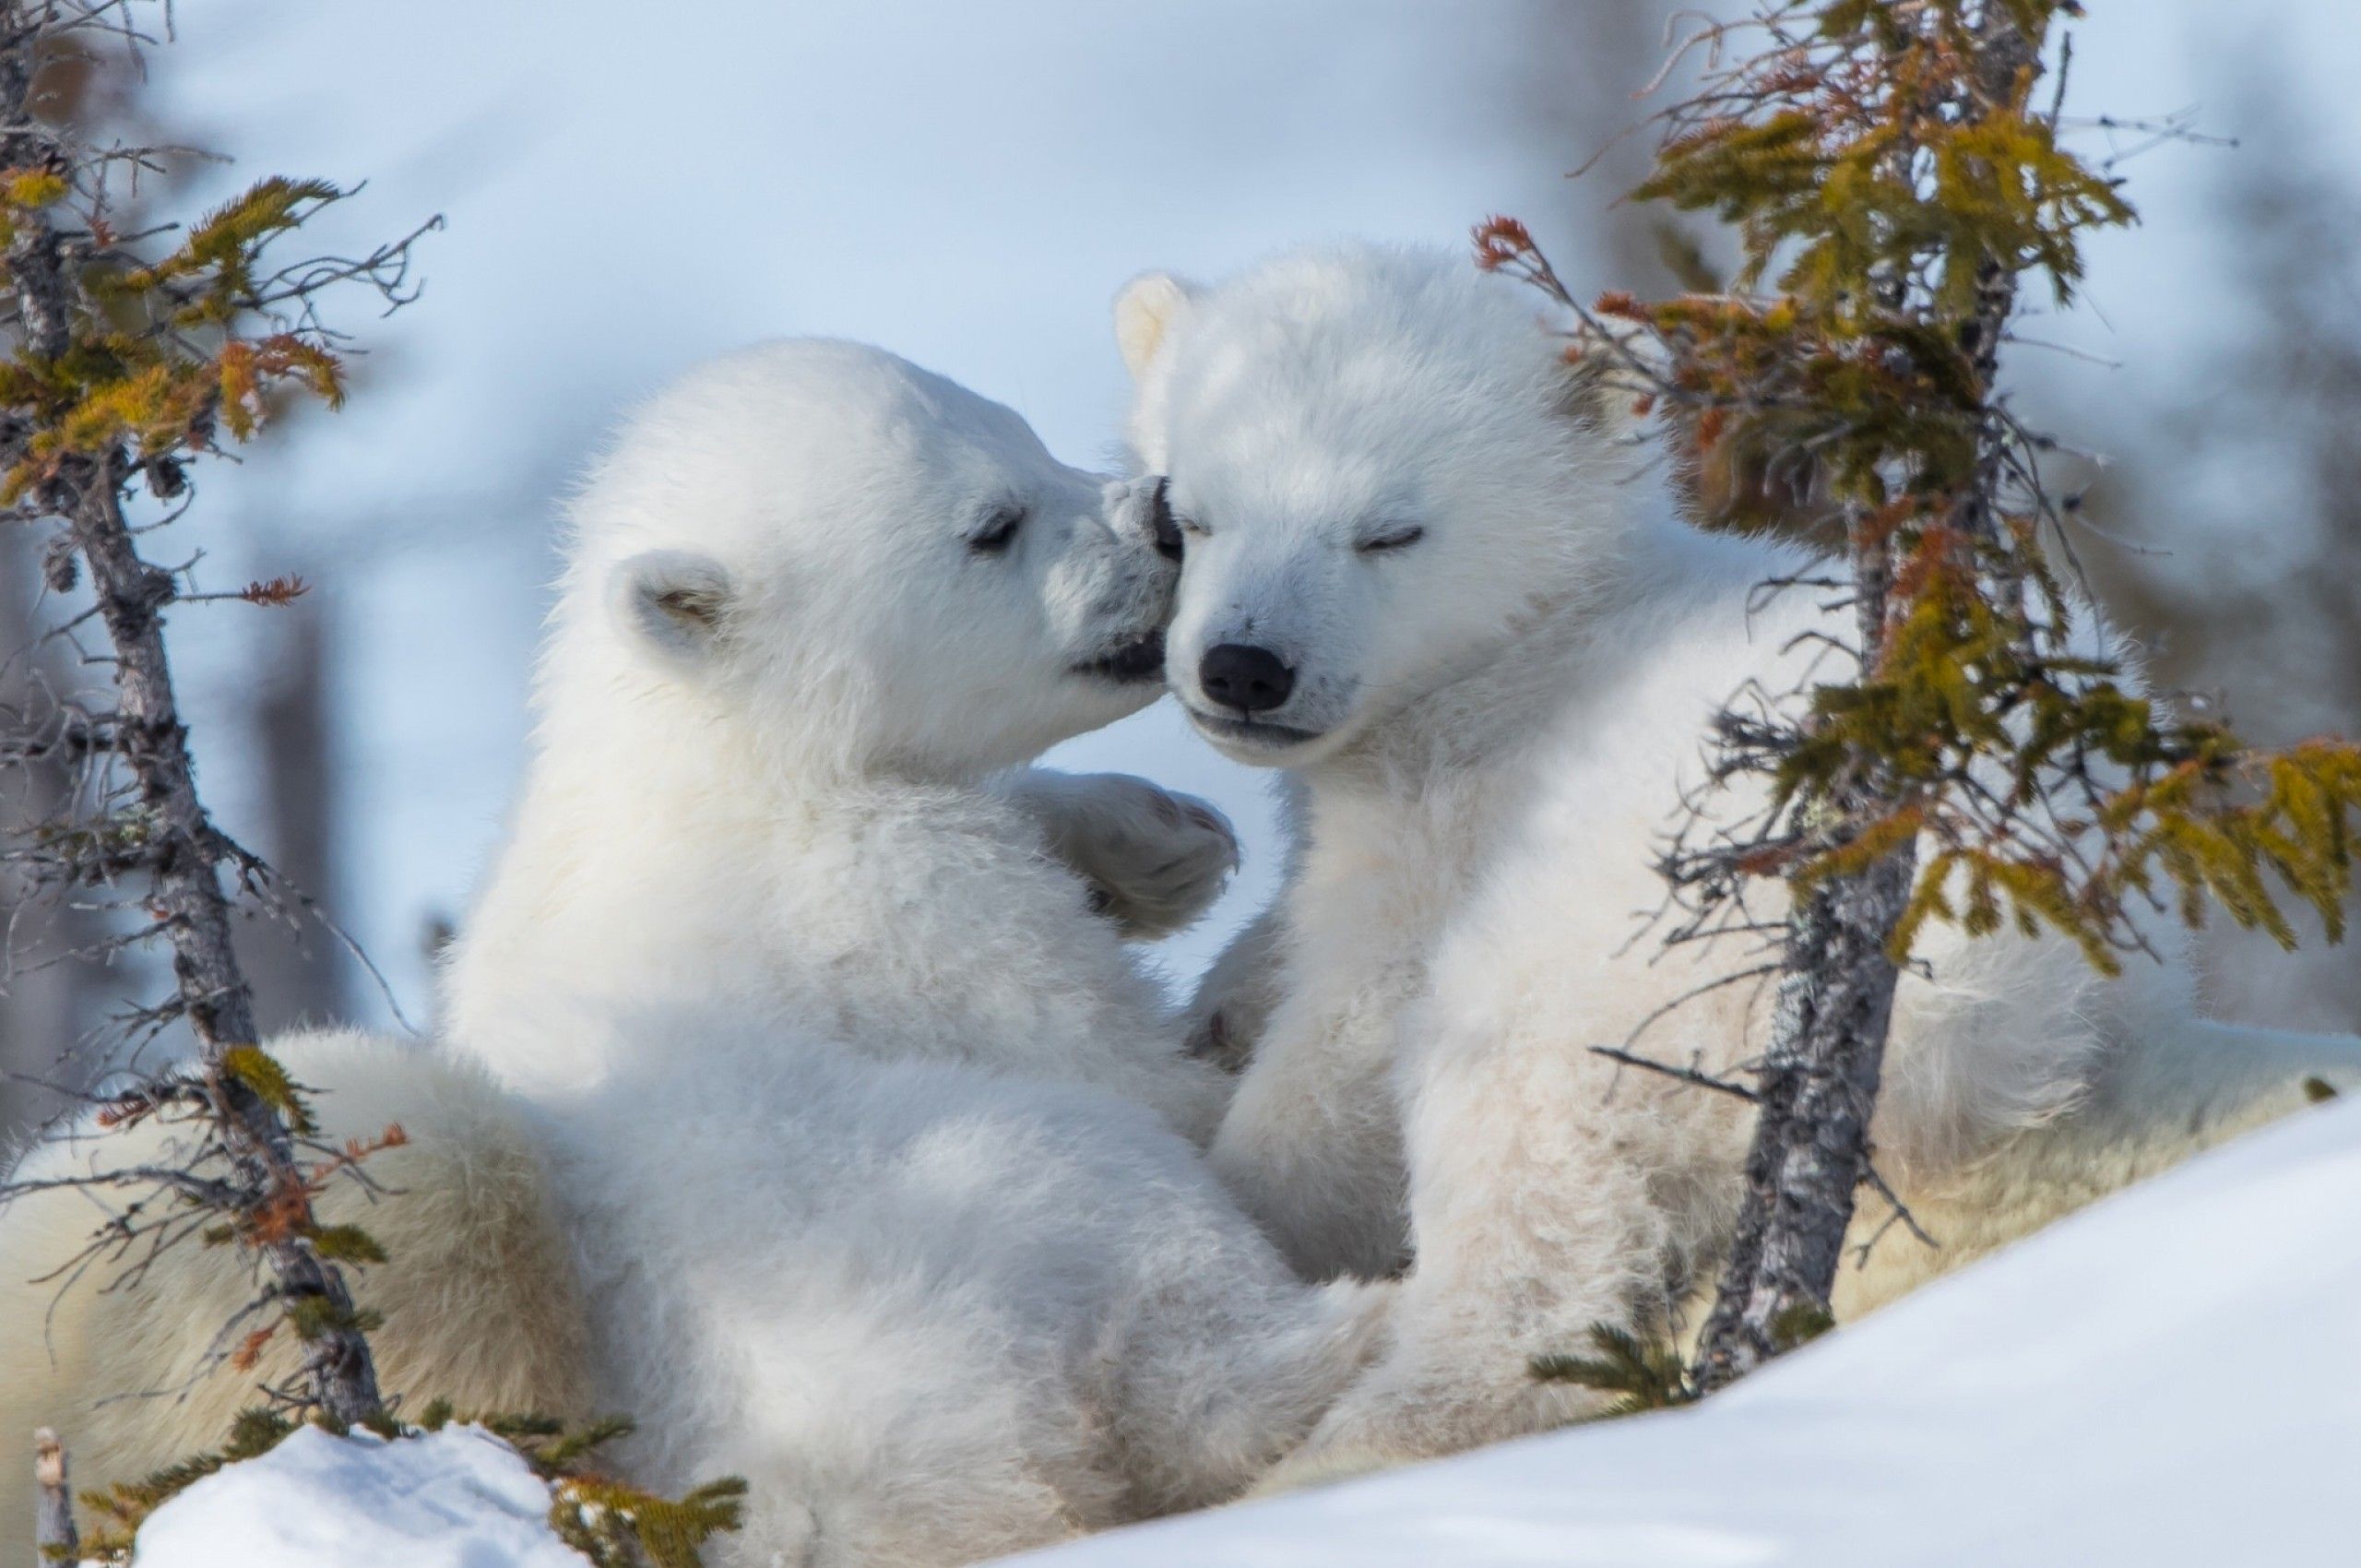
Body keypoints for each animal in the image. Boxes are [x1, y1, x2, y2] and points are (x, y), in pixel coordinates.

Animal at [0, 339, 1379, 1558]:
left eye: (1021, 431)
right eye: (992, 524)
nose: (1159, 518)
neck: (713, 761)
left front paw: (1160, 837)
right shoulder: (895, 900)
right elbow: (1145, 1073)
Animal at [1109, 245, 2361, 1473]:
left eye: (1390, 531)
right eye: (1190, 513)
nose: (1244, 667)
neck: (1531, 649)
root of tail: (2004, 981)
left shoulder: (1459, 805)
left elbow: (1352, 1035)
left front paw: (1241, 1185)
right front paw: (1224, 994)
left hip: (1659, 952)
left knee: (1525, 1155)